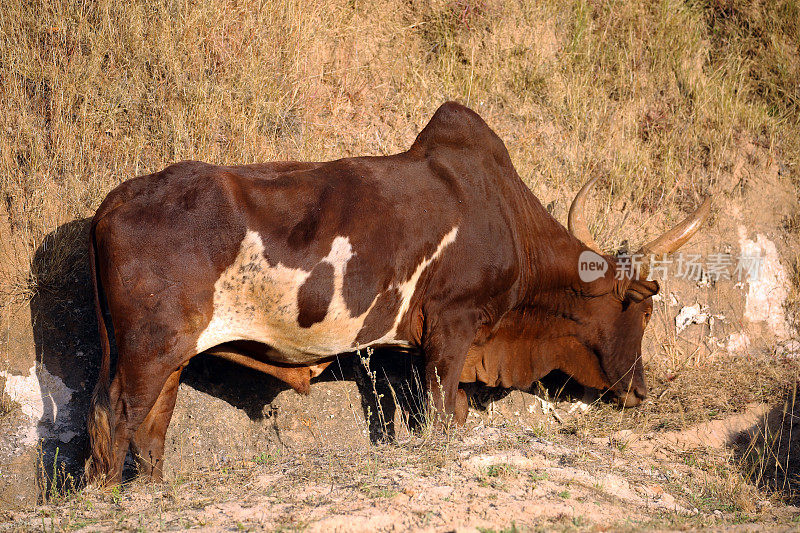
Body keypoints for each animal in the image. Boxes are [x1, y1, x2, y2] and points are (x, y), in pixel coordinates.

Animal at [86, 102, 712, 484]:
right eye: (644, 310)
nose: (640, 392)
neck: (507, 219)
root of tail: (110, 204)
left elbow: (451, 411)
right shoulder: (451, 330)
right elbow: (440, 413)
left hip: (171, 356)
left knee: (152, 426)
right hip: (149, 349)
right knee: (114, 415)